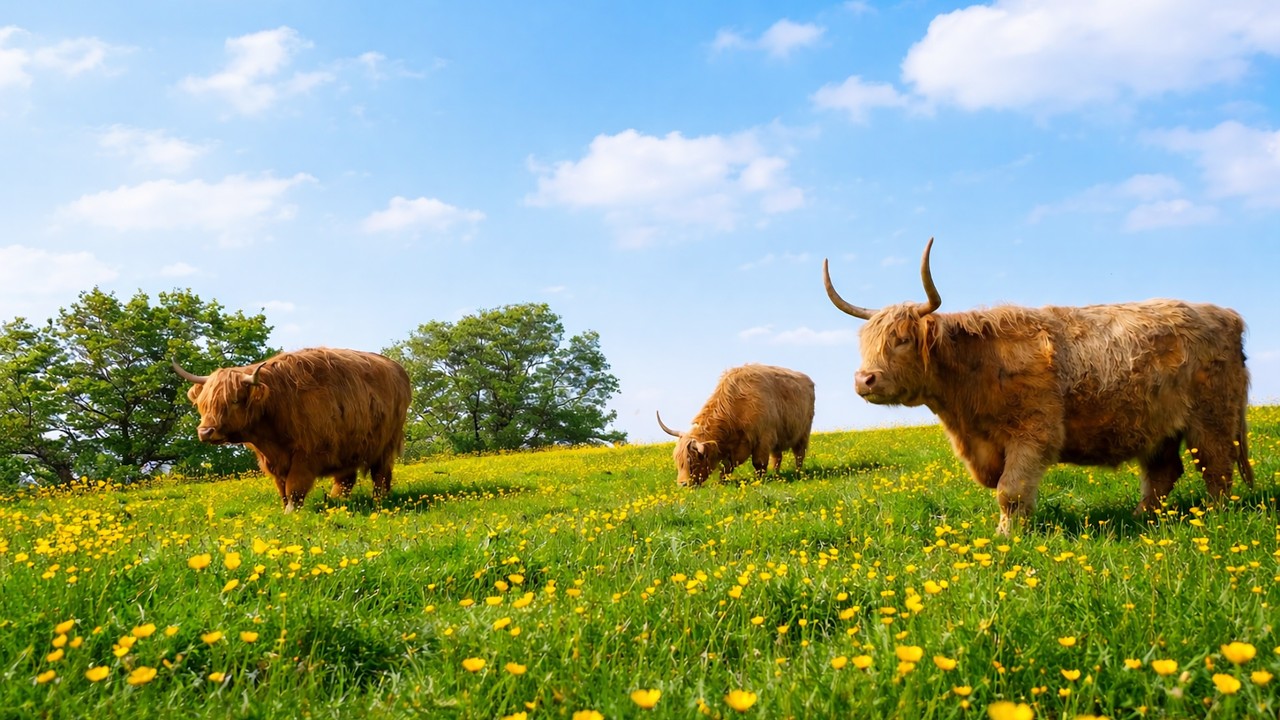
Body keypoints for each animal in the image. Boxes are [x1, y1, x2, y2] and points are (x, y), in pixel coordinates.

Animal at [173, 347, 412, 512]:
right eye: (203, 403)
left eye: (234, 400)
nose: (205, 432)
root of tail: (396, 368)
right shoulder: (272, 460)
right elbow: (282, 488)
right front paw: (285, 507)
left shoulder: (307, 455)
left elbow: (294, 486)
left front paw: (291, 511)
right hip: (348, 445)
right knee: (346, 477)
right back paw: (338, 500)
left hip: (385, 444)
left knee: (380, 473)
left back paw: (379, 499)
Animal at [657, 364, 815, 487]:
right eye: (678, 461)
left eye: (693, 462)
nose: (682, 484)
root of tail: (808, 380)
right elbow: (726, 467)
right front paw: (722, 482)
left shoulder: (764, 439)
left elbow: (759, 463)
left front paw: (759, 481)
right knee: (777, 458)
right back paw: (777, 475)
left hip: (803, 433)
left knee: (799, 455)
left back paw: (798, 474)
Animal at [823, 238, 1252, 534]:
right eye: (866, 342)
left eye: (902, 340)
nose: (864, 379)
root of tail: (1226, 314)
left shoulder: (1033, 433)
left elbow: (1009, 490)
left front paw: (1006, 536)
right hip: (1158, 427)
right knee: (1164, 471)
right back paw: (1141, 518)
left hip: (1212, 418)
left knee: (1216, 466)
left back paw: (1215, 517)